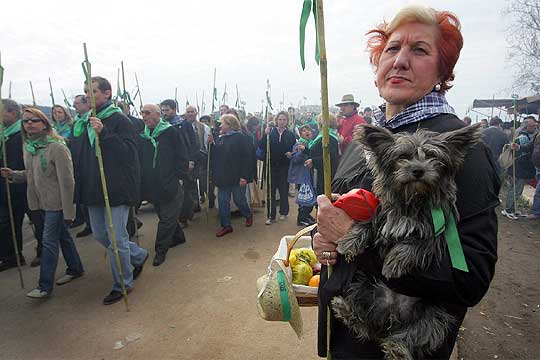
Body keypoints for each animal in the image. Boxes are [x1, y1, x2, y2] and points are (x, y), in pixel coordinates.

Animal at [334, 124, 480, 360]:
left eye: (432, 156)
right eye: (402, 156)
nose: (418, 171)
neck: (412, 200)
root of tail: (392, 315)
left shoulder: (433, 233)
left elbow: (412, 245)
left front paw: (394, 263)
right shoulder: (381, 214)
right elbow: (366, 224)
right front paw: (349, 242)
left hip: (434, 315)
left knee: (414, 335)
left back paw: (398, 349)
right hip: (363, 287)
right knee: (367, 326)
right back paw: (347, 311)